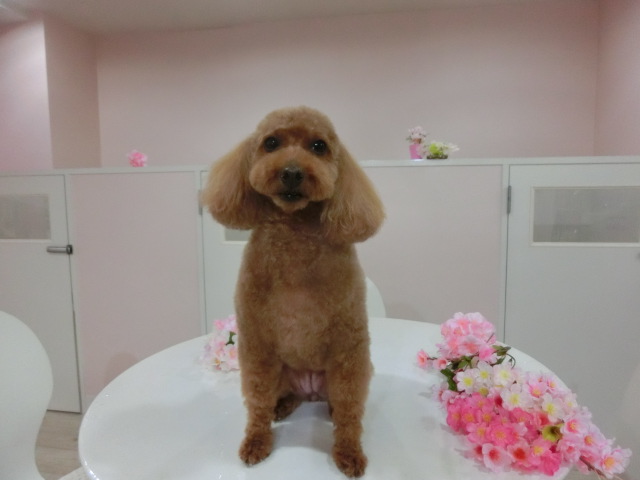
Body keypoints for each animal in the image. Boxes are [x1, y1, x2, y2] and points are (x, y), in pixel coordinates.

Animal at [202, 106, 384, 477]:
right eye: (271, 143)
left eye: (318, 146)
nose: (291, 172)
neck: (294, 234)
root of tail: (310, 392)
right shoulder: (256, 342)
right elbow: (257, 399)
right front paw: (256, 441)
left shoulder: (349, 345)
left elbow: (350, 408)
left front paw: (349, 451)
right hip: (283, 372)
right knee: (280, 395)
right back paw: (282, 406)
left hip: (350, 372)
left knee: (339, 401)